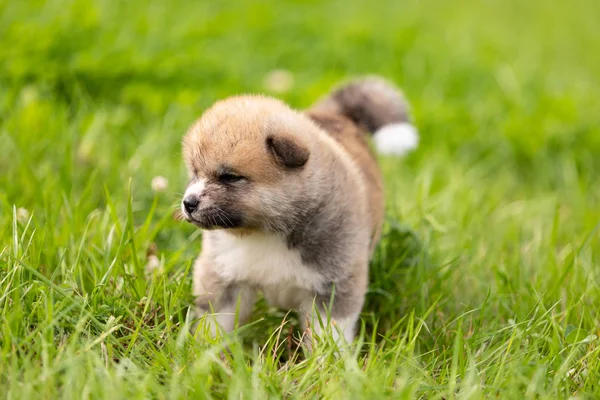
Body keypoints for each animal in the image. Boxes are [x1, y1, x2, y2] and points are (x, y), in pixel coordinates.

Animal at [180, 76, 420, 346]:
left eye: (230, 177)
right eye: (194, 173)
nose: (188, 203)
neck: (264, 232)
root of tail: (337, 114)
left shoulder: (333, 286)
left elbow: (329, 334)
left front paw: (329, 358)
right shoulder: (224, 279)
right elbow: (215, 325)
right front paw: (206, 352)